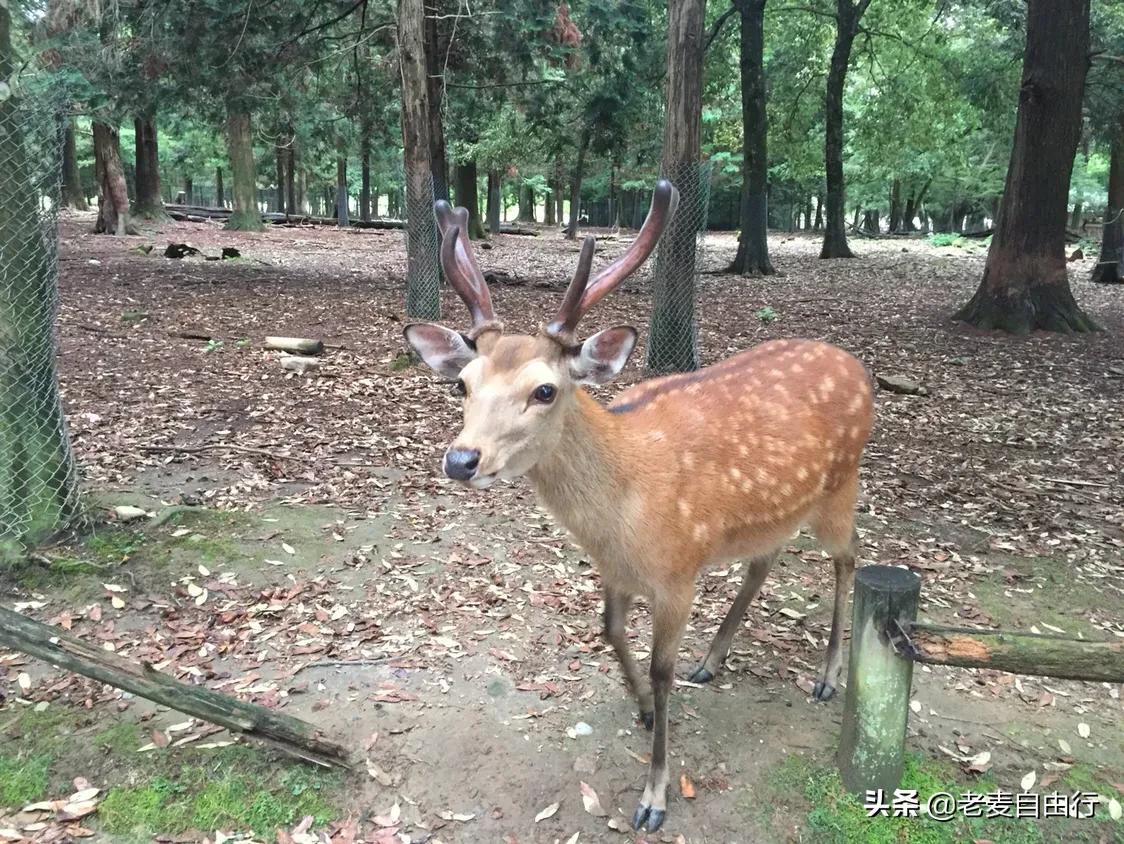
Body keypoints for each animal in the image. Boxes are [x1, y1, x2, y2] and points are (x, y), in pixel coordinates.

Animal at [404, 180, 875, 833]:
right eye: (462, 384)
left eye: (544, 389)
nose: (461, 460)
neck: (619, 518)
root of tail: (862, 371)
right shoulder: (616, 571)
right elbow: (610, 632)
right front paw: (646, 709)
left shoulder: (677, 573)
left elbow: (660, 668)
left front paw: (654, 796)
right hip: (777, 510)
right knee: (764, 560)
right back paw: (713, 659)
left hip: (841, 486)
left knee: (849, 557)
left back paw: (827, 678)